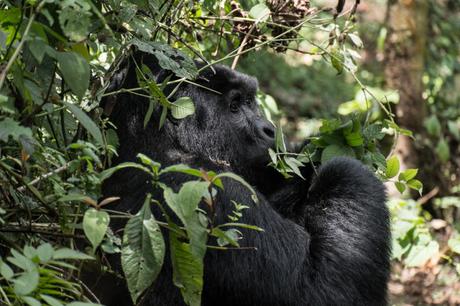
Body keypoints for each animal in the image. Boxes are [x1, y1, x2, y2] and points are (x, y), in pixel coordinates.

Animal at [95, 52, 390, 306]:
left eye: (250, 101)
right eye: (235, 106)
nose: (269, 129)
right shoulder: (211, 191)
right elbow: (317, 291)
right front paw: (345, 166)